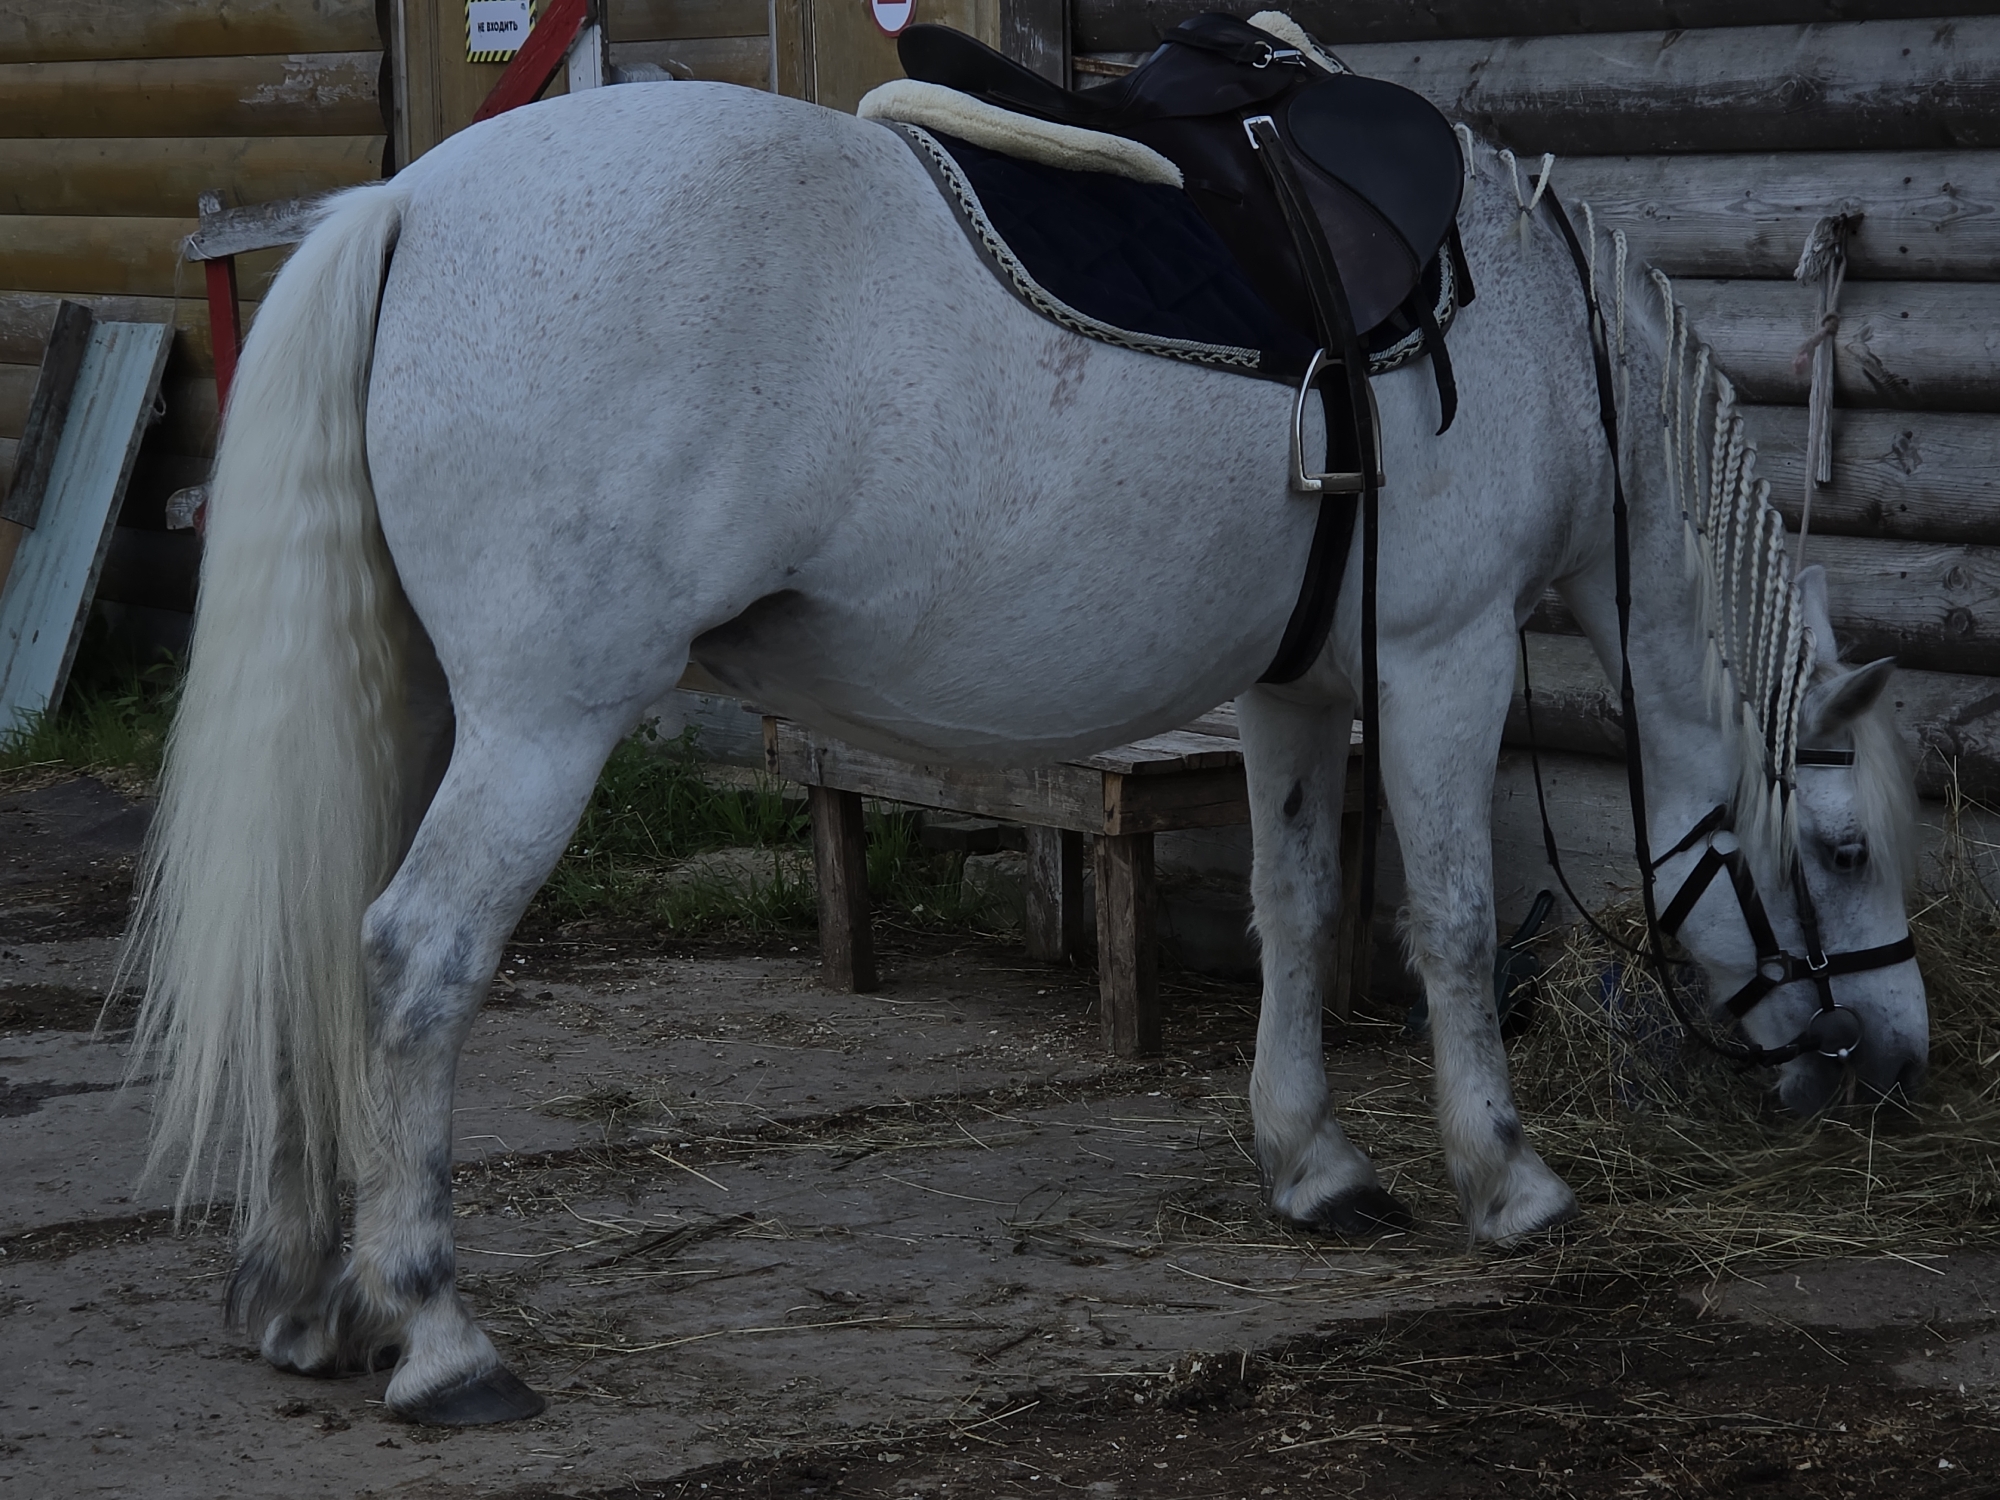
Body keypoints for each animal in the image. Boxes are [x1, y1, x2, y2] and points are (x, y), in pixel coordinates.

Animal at [121, 76, 1926, 1425]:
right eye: (1841, 850)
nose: (1897, 1069)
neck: (1534, 320)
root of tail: (403, 206)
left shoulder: (1297, 693)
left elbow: (1293, 910)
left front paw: (1314, 1164)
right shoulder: (1442, 658)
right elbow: (1454, 923)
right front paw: (1511, 1181)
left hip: (422, 703)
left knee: (312, 933)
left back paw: (304, 1303)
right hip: (539, 727)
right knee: (413, 961)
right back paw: (437, 1339)